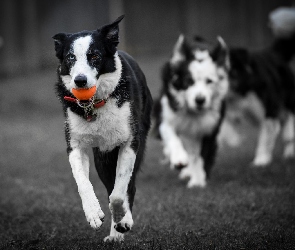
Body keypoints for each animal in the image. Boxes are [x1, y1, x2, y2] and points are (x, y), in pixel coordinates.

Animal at [53, 15, 154, 240]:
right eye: (70, 57)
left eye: (95, 56)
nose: (80, 81)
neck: (94, 104)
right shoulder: (75, 145)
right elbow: (83, 182)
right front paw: (93, 214)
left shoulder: (130, 142)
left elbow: (118, 193)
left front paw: (123, 220)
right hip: (102, 157)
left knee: (126, 187)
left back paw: (120, 227)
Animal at [154, 35, 230, 188]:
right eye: (188, 81)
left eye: (209, 81)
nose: (199, 100)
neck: (193, 111)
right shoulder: (166, 116)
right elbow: (172, 136)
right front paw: (178, 159)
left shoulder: (210, 127)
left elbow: (200, 154)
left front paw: (198, 181)